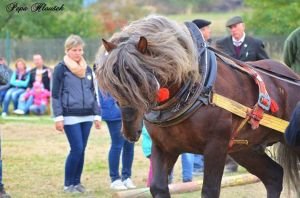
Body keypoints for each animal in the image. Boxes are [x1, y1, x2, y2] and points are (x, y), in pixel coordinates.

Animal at [95, 15, 300, 198]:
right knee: (274, 176)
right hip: (245, 148)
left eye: (142, 80)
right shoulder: (164, 147)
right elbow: (158, 187)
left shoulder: (216, 147)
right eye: (113, 84)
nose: (130, 131)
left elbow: (209, 190)